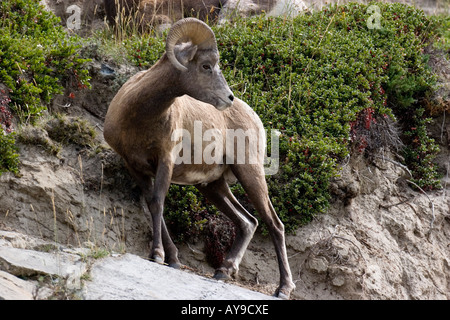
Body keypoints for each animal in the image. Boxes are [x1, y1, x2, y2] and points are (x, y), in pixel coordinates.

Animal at [104, 17, 298, 298]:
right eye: (206, 66)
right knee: (248, 222)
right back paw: (223, 271)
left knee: (274, 224)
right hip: (213, 186)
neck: (139, 116)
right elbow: (152, 205)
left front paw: (157, 255)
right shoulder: (136, 167)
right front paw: (173, 259)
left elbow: (158, 203)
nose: (228, 98)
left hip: (249, 173)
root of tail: (255, 118)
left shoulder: (165, 161)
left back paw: (283, 288)